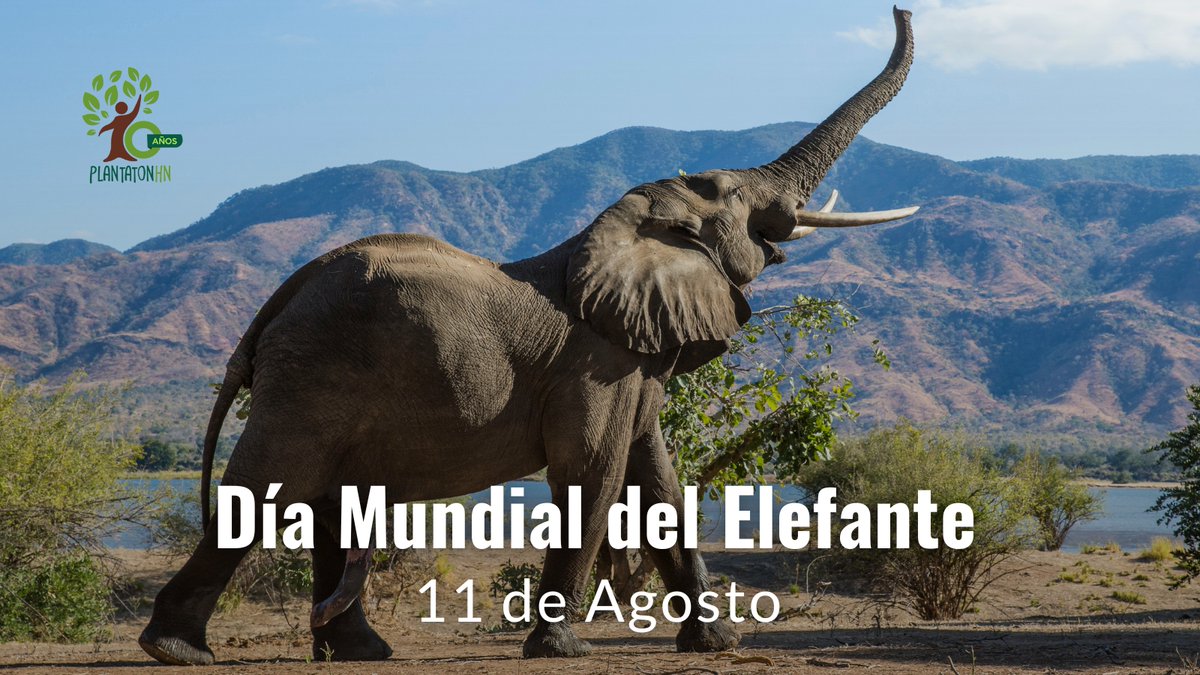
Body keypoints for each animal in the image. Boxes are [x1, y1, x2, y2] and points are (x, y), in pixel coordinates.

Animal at [139, 6, 917, 666]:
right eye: (735, 197)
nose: (903, 10)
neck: (621, 228)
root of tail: (275, 304)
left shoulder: (632, 360)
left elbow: (657, 475)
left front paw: (716, 643)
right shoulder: (595, 365)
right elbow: (593, 470)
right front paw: (563, 649)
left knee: (326, 500)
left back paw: (358, 651)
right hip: (312, 373)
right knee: (270, 484)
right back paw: (175, 650)